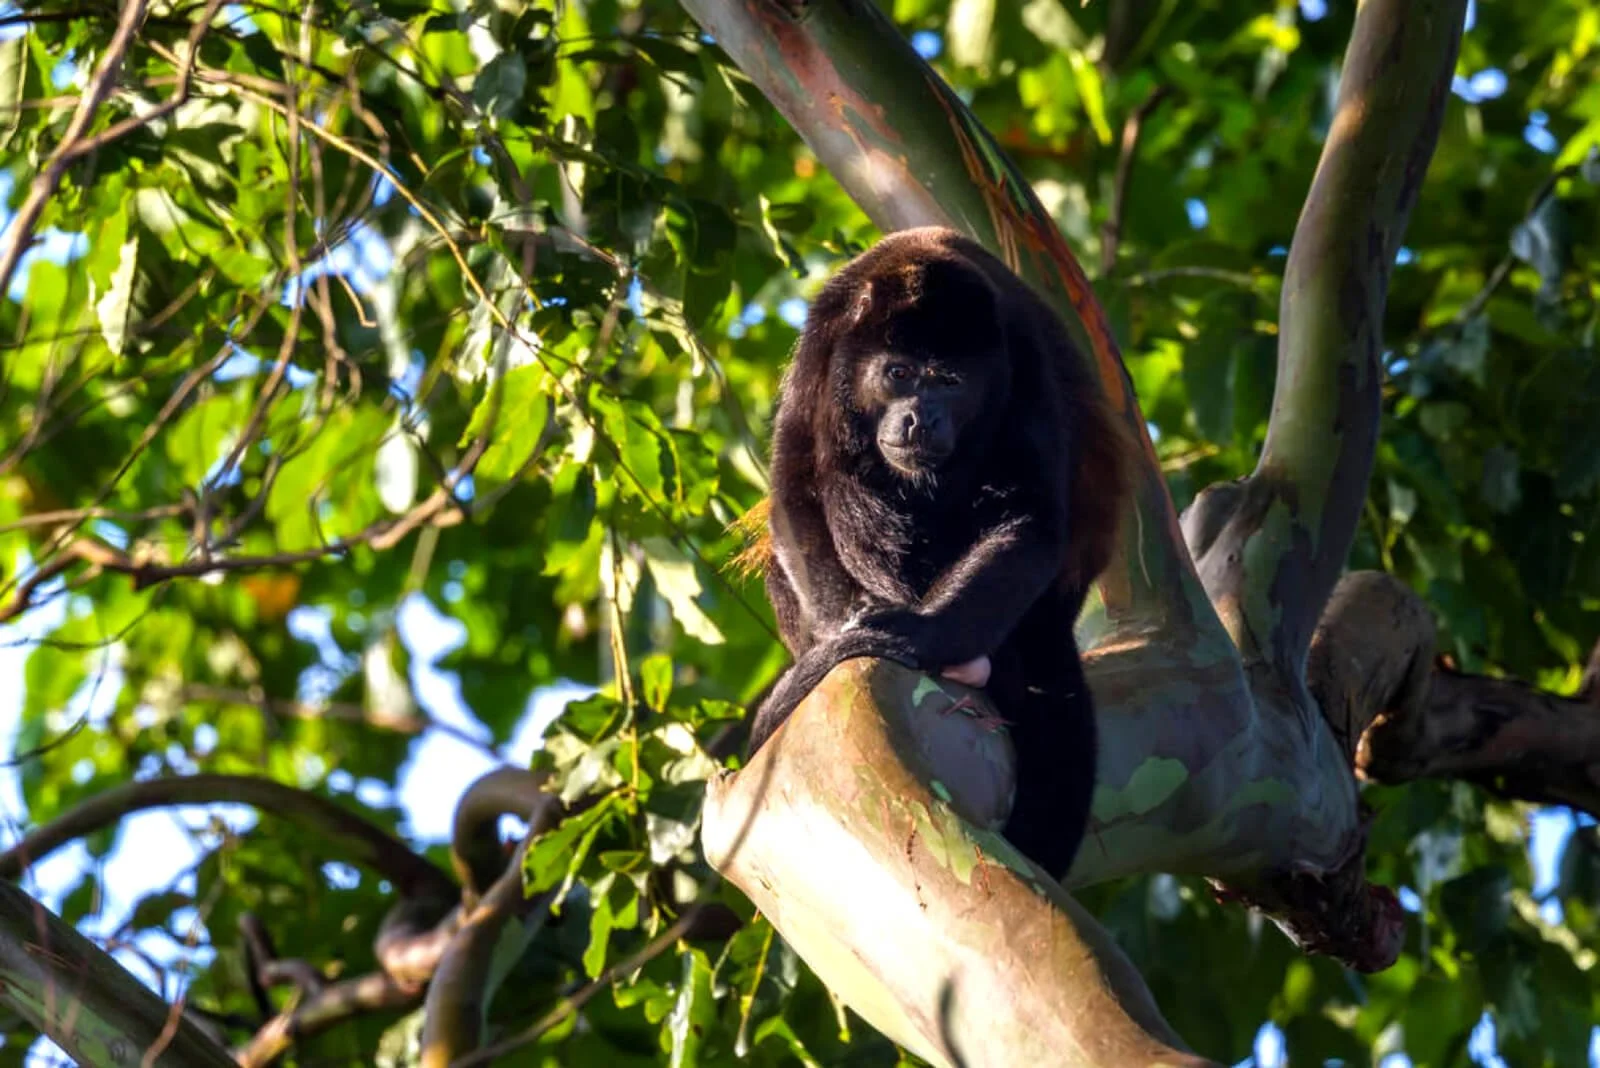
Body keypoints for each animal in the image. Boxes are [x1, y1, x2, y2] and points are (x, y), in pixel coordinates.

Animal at [736, 226, 1133, 878]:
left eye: (950, 381)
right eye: (897, 373)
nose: (920, 419)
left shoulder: (1021, 357)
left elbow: (1027, 518)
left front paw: (916, 634)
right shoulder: (823, 341)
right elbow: (796, 485)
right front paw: (843, 629)